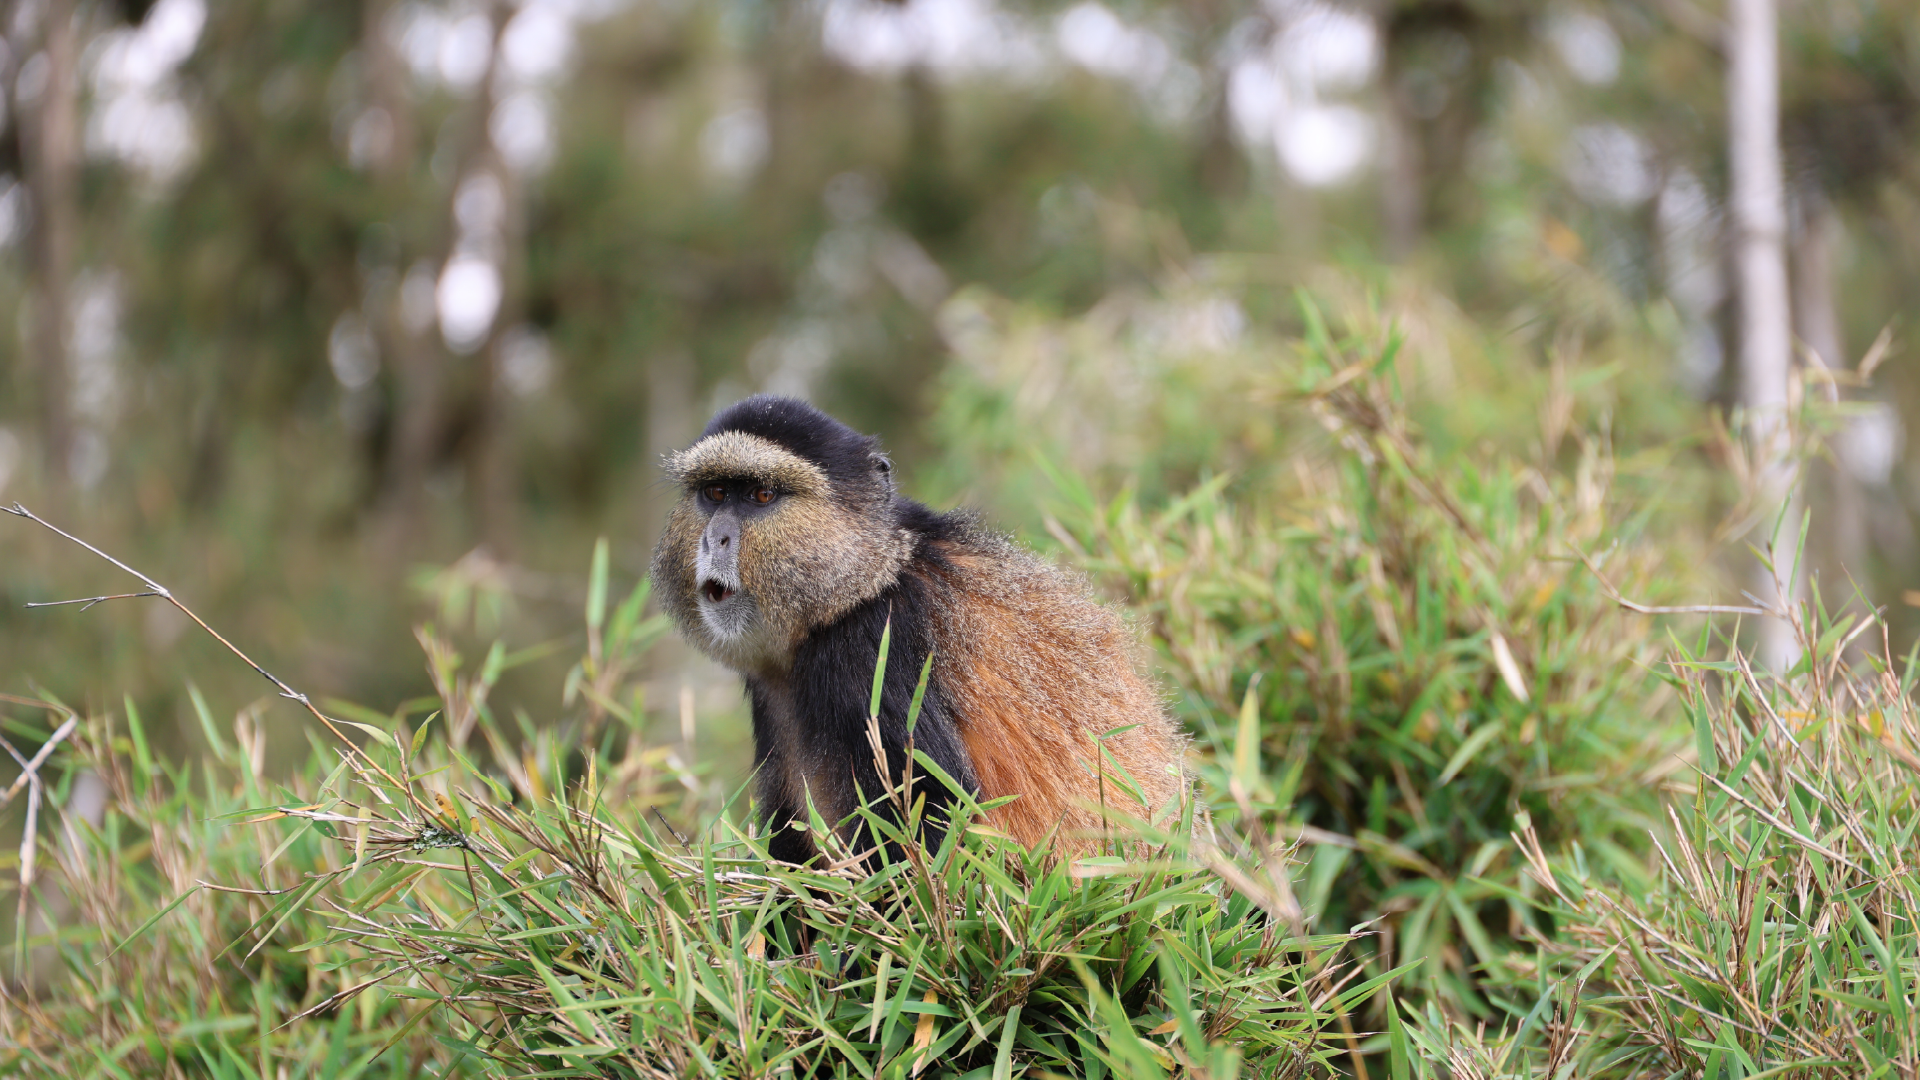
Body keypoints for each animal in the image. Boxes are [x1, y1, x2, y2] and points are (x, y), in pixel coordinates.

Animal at [651, 395, 1186, 866]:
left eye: (762, 495)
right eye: (715, 493)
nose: (715, 538)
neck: (869, 575)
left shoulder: (872, 650)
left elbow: (943, 833)